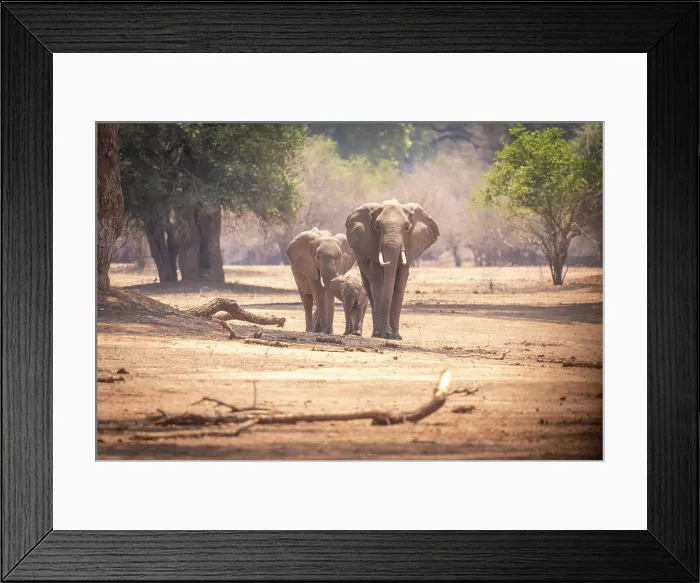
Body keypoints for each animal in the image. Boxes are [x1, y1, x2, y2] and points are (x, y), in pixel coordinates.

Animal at [345, 199, 440, 339]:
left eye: (406, 228)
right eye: (377, 227)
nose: (385, 334)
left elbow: (400, 281)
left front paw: (395, 336)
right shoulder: (372, 248)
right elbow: (377, 279)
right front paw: (381, 334)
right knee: (369, 287)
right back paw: (375, 332)